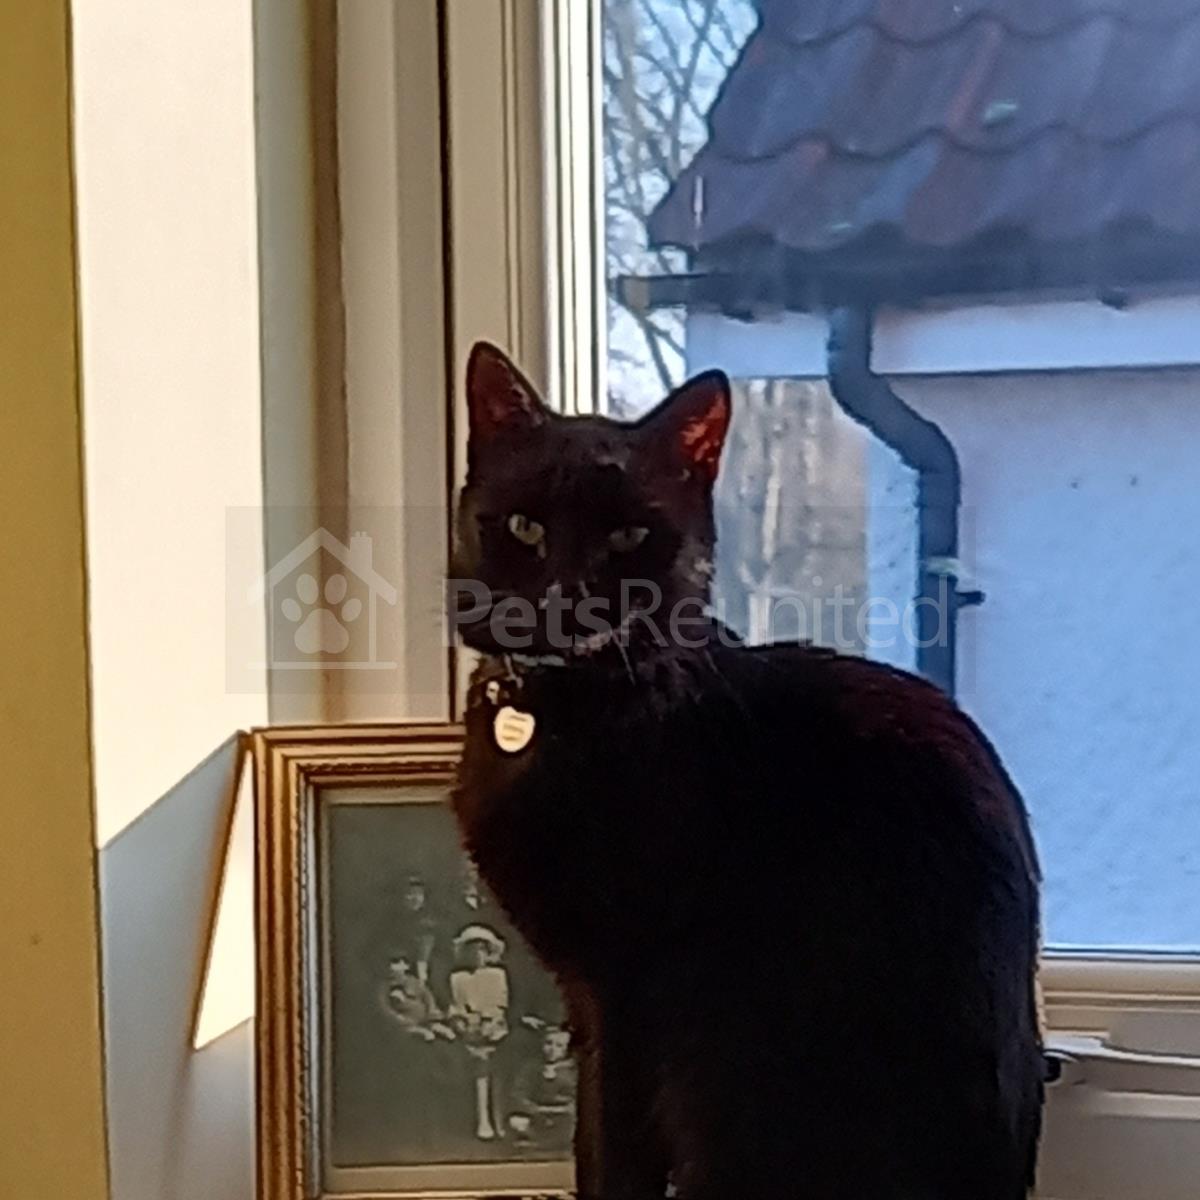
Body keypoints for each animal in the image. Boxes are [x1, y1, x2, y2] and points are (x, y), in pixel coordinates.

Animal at [449, 342, 1043, 1200]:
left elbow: (611, 1152)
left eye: (628, 536)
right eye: (526, 527)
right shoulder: (589, 1004)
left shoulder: (626, 996)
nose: (568, 598)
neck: (557, 711)